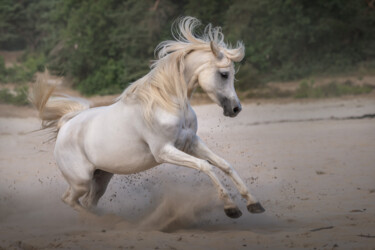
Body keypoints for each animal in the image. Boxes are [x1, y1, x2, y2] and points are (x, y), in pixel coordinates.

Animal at [33, 16, 266, 218]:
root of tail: (66, 125)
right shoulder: (164, 151)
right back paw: (105, 222)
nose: (235, 108)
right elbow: (205, 166)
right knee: (69, 199)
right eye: (224, 74)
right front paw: (231, 208)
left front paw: (254, 203)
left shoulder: (190, 142)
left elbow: (224, 165)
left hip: (101, 177)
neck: (166, 104)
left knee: (88, 202)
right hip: (81, 180)